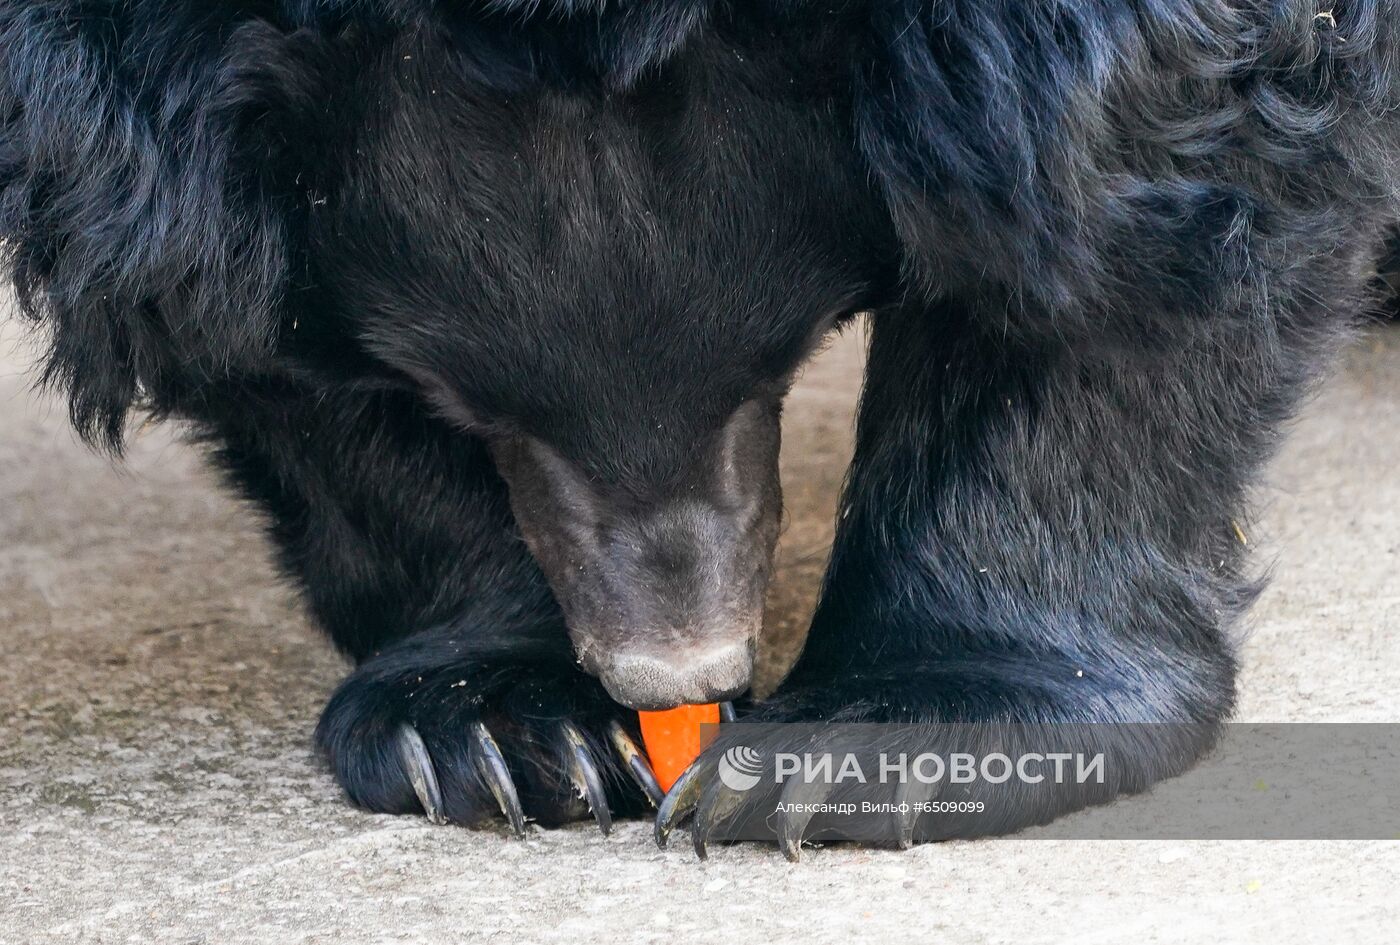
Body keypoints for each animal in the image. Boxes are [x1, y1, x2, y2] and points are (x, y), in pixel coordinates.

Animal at [0, 0, 1394, 856]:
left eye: (772, 357)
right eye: (465, 399)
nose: (678, 677)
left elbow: (1116, 185)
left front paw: (863, 747)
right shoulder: (127, 107)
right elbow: (224, 308)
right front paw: (497, 729)